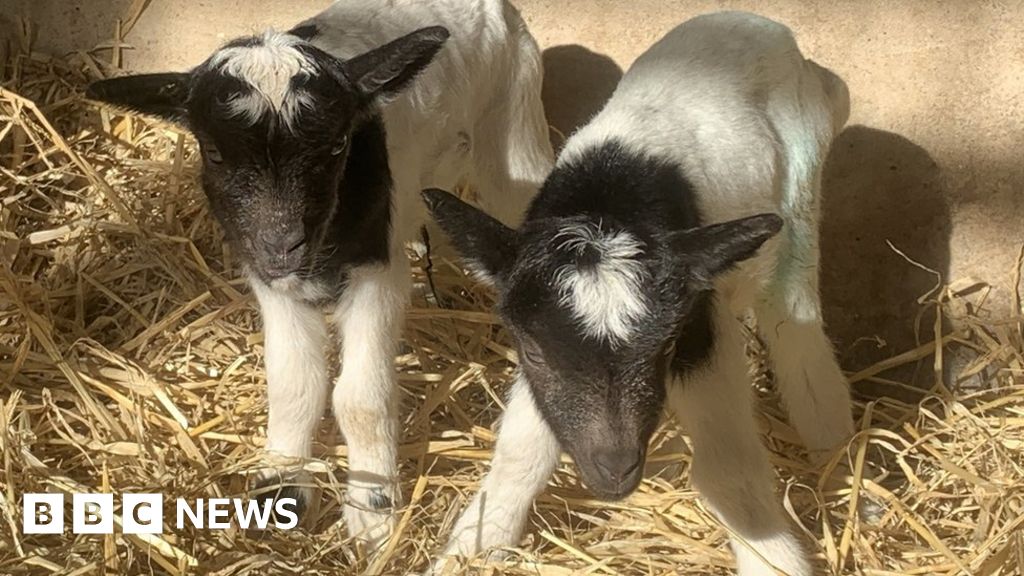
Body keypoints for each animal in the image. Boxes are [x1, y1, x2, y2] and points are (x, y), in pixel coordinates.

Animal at [87, 0, 554, 548]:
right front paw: (281, 483)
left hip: (516, 123)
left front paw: (372, 508)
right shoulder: (273, 282)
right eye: (215, 153)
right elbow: (294, 383)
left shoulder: (377, 270)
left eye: (336, 147)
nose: (282, 244)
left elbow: (359, 398)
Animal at [425, 11, 853, 575]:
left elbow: (729, 471)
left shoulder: (700, 323)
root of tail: (767, 27)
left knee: (792, 315)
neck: (609, 198)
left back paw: (835, 449)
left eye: (665, 347)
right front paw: (470, 549)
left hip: (803, 176)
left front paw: (774, 559)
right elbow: (521, 450)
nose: (615, 468)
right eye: (533, 351)